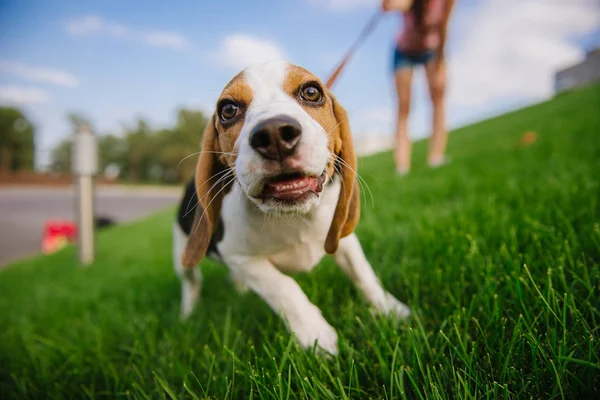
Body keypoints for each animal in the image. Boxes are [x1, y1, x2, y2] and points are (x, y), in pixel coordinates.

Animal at [171, 61, 410, 354]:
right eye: (228, 110)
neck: (295, 217)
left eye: (311, 92)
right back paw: (187, 314)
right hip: (182, 253)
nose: (274, 134)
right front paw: (315, 334)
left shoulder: (343, 236)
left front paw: (389, 309)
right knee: (191, 283)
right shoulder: (240, 257)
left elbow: (363, 273)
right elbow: (283, 287)